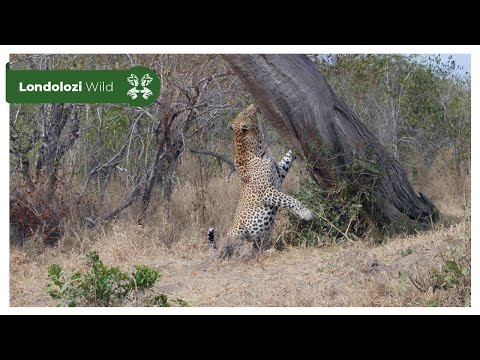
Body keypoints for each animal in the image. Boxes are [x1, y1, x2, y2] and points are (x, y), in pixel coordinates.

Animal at [208, 102, 314, 258]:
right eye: (246, 113)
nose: (253, 104)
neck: (257, 149)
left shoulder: (279, 173)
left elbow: (287, 158)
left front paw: (294, 146)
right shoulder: (267, 192)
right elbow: (290, 199)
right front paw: (305, 213)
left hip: (263, 235)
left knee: (258, 247)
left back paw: (269, 250)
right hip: (238, 233)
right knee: (239, 250)